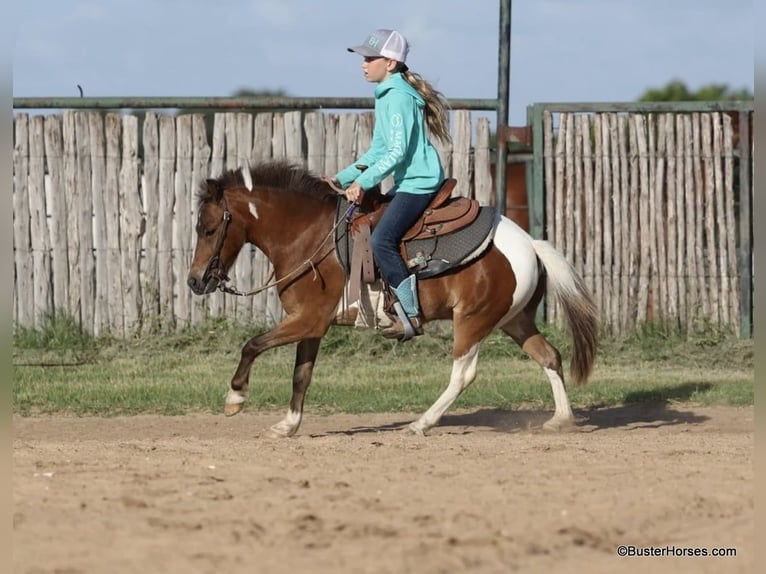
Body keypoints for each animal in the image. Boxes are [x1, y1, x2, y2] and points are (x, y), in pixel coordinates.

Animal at [187, 160, 598, 437]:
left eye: (208, 228)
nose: (194, 281)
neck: (309, 235)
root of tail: (530, 243)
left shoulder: (307, 320)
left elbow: (252, 345)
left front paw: (235, 398)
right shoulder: (312, 325)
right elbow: (301, 375)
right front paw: (287, 425)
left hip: (474, 320)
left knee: (463, 374)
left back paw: (421, 423)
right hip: (515, 319)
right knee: (549, 356)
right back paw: (561, 420)